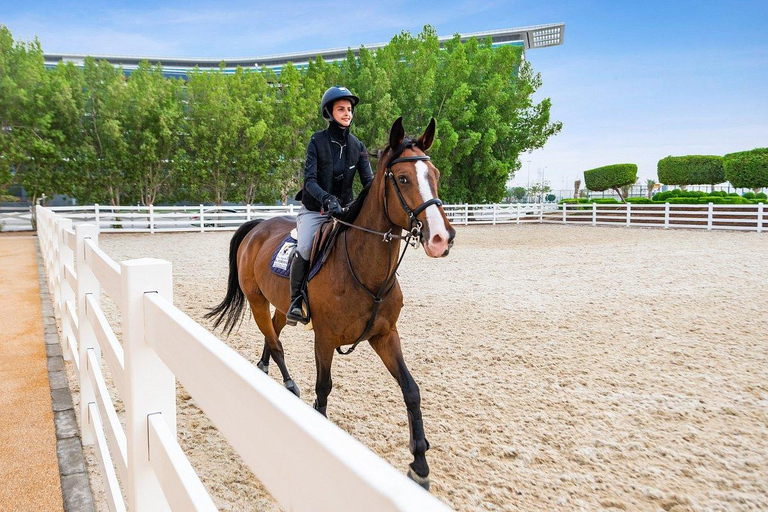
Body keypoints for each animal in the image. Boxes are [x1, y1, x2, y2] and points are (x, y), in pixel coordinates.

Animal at [205, 117, 456, 489]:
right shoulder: (324, 338)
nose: (441, 238)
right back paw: (288, 384)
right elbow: (323, 388)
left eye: (435, 174)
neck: (365, 271)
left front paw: (420, 465)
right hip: (257, 300)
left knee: (272, 334)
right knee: (276, 343)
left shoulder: (385, 336)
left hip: (282, 307)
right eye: (403, 178)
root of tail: (259, 226)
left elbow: (411, 390)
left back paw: (264, 369)